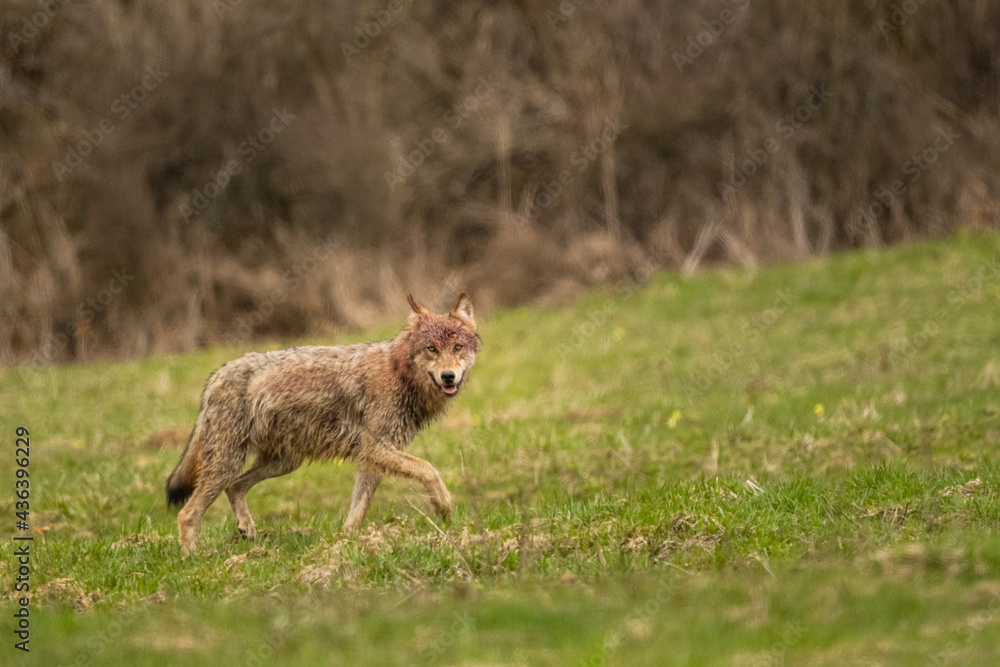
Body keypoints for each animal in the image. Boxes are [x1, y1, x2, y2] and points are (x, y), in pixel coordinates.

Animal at [165, 292, 478, 554]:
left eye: (457, 347)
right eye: (432, 349)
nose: (448, 376)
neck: (400, 373)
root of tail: (216, 376)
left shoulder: (372, 458)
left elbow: (358, 511)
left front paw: (346, 543)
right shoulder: (376, 448)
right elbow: (429, 469)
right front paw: (443, 505)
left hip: (283, 463)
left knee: (235, 487)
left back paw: (248, 532)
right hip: (229, 463)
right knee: (187, 514)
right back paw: (193, 560)